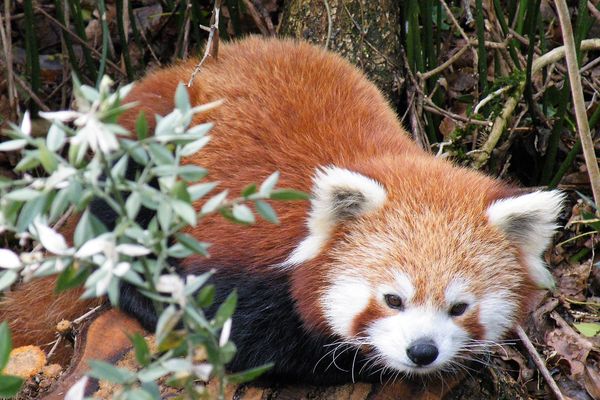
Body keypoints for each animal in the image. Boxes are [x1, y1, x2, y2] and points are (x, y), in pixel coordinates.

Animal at [0, 37, 564, 384]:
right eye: (392, 299)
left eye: (460, 307)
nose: (421, 352)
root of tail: (179, 68)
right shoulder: (244, 268)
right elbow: (246, 339)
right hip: (144, 163)